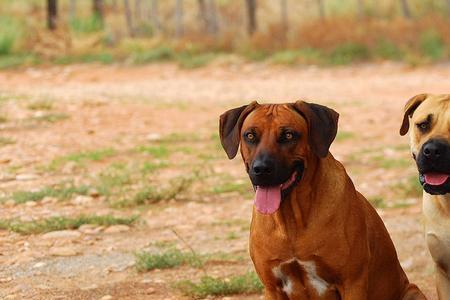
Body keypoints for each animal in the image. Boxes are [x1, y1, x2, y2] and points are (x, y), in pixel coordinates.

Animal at [221, 101, 426, 300]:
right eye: (250, 135)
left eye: (288, 135)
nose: (262, 169)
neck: (293, 220)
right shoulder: (272, 288)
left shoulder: (352, 283)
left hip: (412, 292)